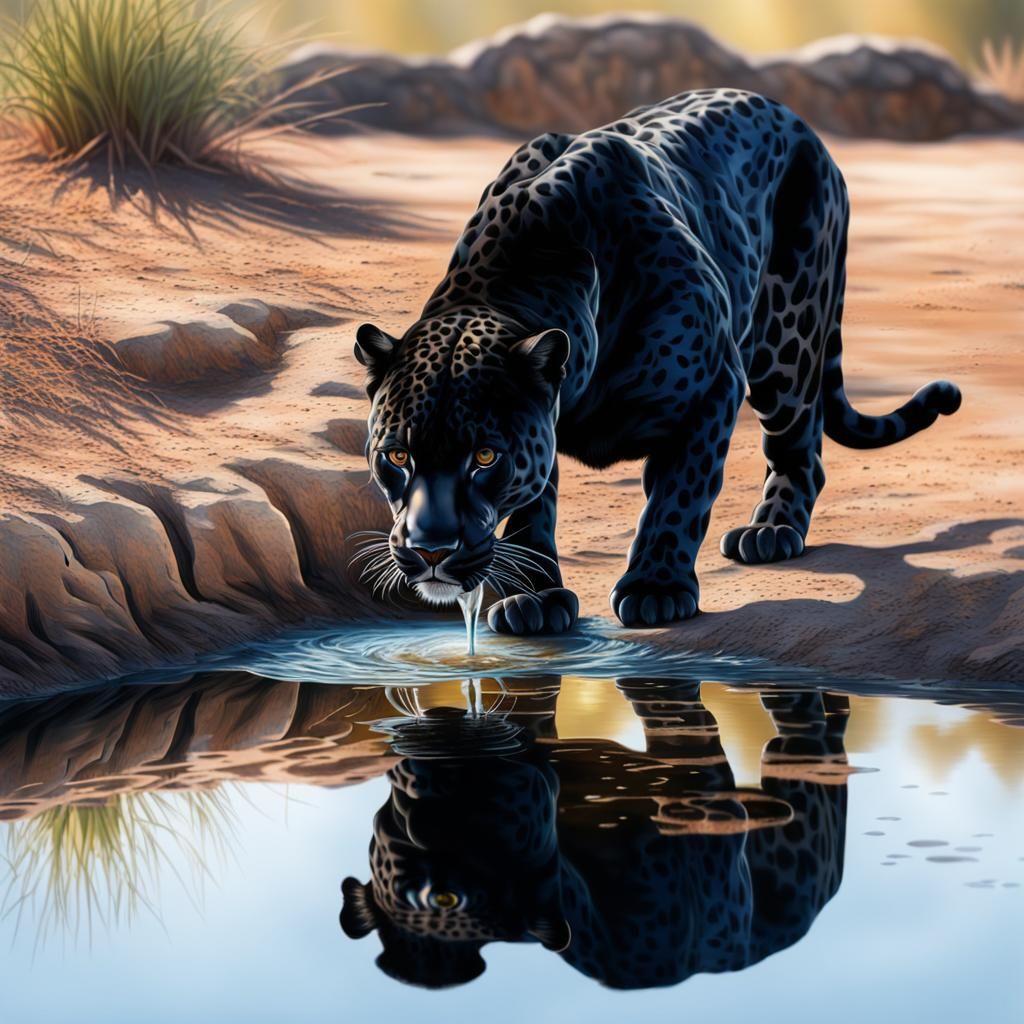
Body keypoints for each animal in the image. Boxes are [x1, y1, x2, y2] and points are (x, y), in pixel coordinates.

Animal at [354, 88, 961, 631]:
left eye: (484, 458)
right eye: (397, 457)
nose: (431, 550)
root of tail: (794, 116)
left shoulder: (713, 389)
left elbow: (679, 497)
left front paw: (657, 589)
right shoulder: (542, 426)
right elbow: (531, 513)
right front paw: (535, 599)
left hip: (787, 342)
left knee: (800, 447)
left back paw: (771, 532)